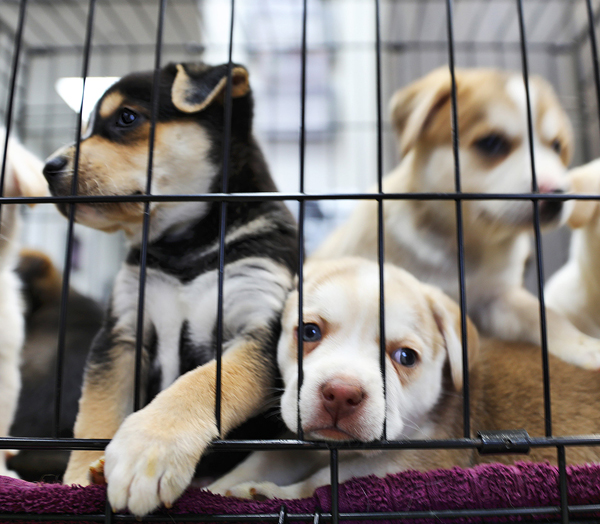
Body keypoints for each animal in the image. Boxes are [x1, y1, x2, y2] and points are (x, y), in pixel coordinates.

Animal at [42, 62, 298, 516]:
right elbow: (96, 412)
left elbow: (202, 382)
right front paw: (77, 479)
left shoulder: (259, 327)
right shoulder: (121, 332)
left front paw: (148, 450)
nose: (48, 167)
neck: (184, 248)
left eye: (127, 118)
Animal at [209, 260, 600, 502]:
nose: (341, 393)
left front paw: (270, 493)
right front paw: (214, 487)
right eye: (309, 332)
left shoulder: (412, 461)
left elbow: (327, 483)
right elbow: (265, 457)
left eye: (406, 357)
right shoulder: (299, 442)